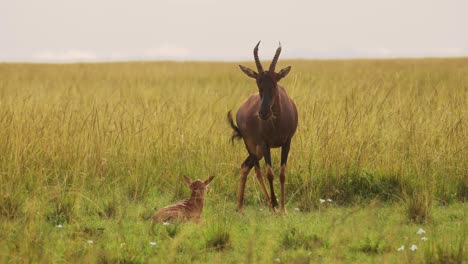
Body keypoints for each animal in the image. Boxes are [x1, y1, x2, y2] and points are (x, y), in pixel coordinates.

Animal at [229, 42, 298, 213]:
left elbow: (282, 173)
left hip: (258, 150)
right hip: (252, 145)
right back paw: (268, 204)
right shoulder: (265, 143)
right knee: (257, 171)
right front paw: (275, 206)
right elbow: (269, 173)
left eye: (274, 83)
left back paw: (240, 206)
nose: (263, 113)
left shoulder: (287, 142)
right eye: (258, 83)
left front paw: (283, 209)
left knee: (245, 166)